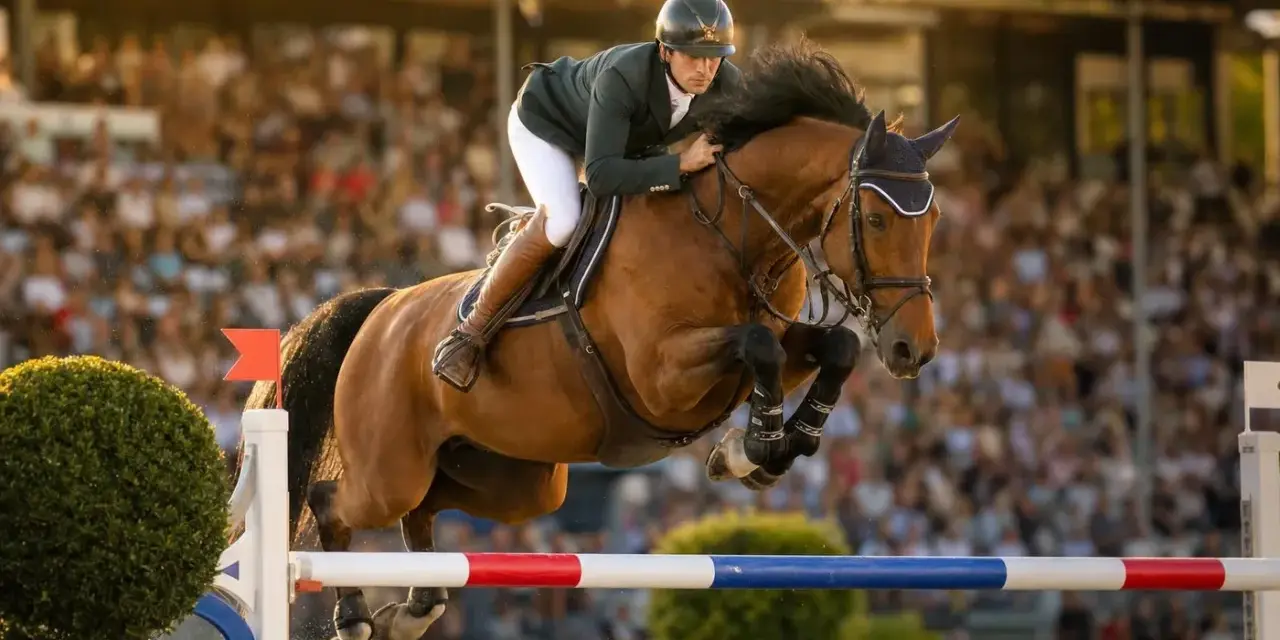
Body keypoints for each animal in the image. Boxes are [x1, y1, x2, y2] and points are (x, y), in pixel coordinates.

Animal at [244, 39, 957, 640]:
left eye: (935, 221)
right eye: (876, 218)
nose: (914, 351)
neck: (727, 233)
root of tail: (381, 309)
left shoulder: (766, 343)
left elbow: (830, 349)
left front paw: (768, 450)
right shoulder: (663, 375)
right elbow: (759, 344)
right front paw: (754, 448)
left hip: (516, 480)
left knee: (423, 509)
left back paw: (416, 607)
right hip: (391, 464)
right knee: (334, 502)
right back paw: (356, 613)